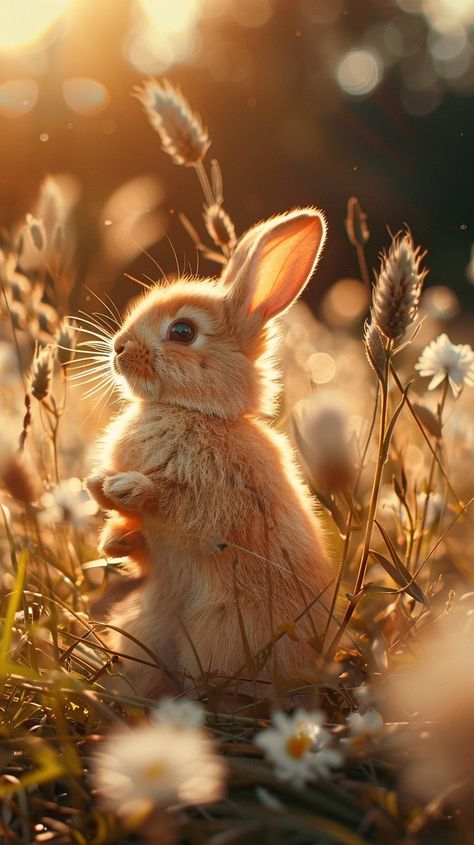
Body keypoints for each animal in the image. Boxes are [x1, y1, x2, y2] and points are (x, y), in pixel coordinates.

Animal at [88, 208, 334, 704]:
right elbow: (141, 547)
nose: (118, 347)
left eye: (182, 332)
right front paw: (106, 517)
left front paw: (126, 487)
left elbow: (178, 507)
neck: (194, 411)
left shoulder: (220, 506)